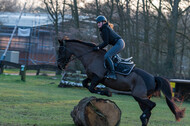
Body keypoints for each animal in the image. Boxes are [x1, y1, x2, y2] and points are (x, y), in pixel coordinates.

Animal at [57, 39, 185, 125]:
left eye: (61, 50)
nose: (59, 65)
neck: (91, 57)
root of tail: (153, 78)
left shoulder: (97, 78)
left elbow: (92, 88)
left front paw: (107, 93)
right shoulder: (91, 77)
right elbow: (85, 84)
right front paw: (104, 93)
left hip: (138, 96)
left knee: (152, 105)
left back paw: (142, 116)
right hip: (141, 98)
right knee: (148, 111)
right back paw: (143, 118)